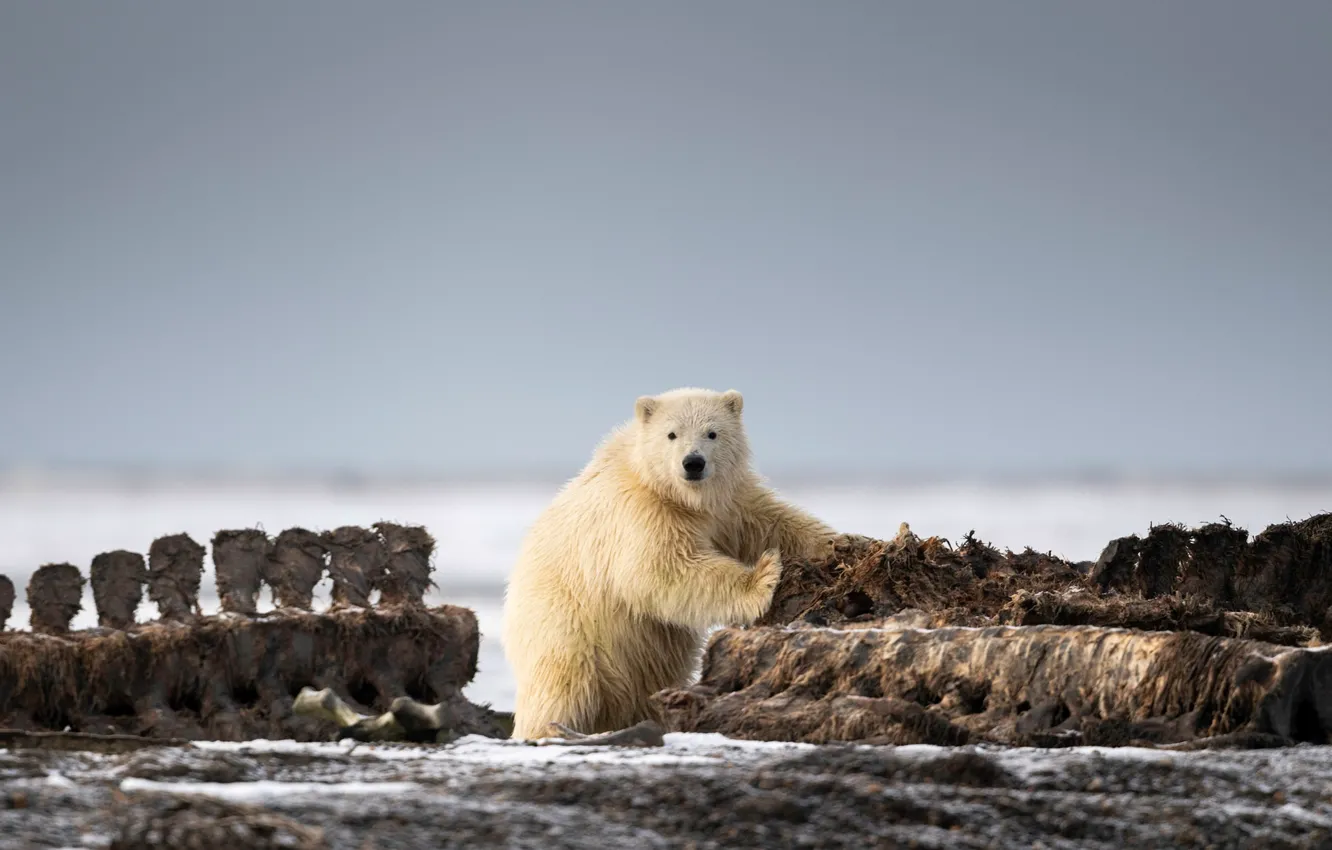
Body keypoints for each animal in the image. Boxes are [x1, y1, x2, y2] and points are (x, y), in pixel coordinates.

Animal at [500, 387, 842, 740]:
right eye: (672, 434)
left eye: (712, 432)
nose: (693, 463)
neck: (675, 495)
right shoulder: (642, 513)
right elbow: (662, 570)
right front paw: (763, 576)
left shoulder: (729, 504)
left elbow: (772, 522)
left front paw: (838, 544)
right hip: (566, 626)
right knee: (564, 682)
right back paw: (551, 729)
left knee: (648, 682)